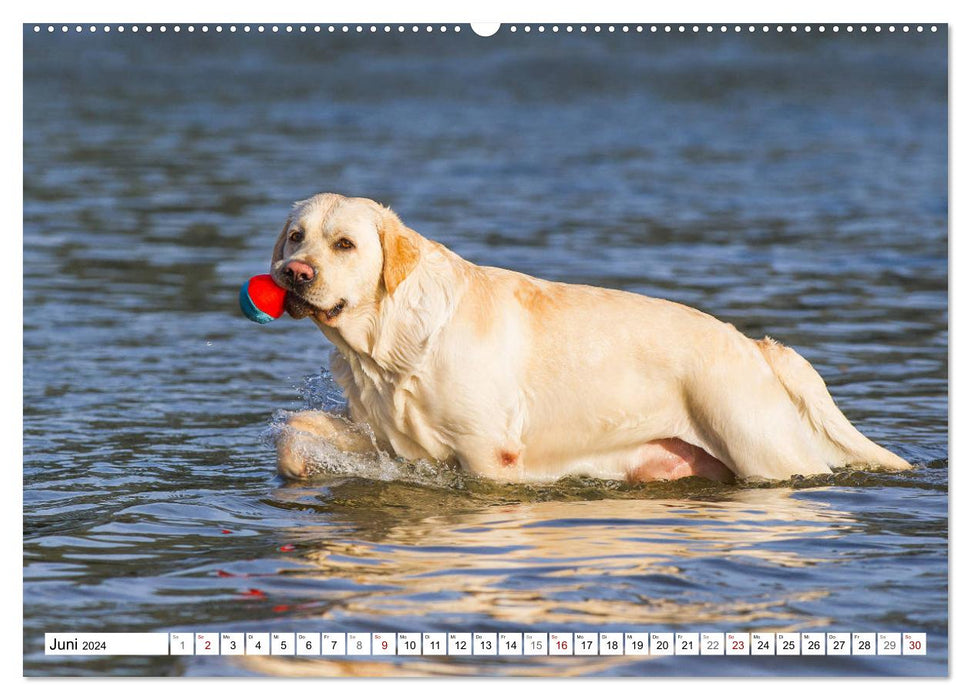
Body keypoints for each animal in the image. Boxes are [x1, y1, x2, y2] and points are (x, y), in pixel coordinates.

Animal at [268, 194, 912, 484]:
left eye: (345, 244)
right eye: (296, 236)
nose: (293, 274)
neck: (389, 343)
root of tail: (754, 345)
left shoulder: (489, 453)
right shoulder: (388, 436)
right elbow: (296, 433)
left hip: (764, 451)